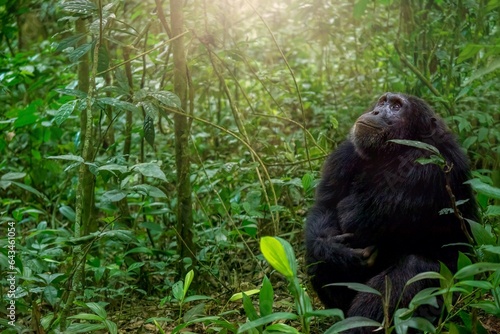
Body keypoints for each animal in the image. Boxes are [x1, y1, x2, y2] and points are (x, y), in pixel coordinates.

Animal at [304, 91, 476, 332]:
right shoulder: (346, 152)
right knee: (316, 257)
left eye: (396, 107)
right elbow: (326, 204)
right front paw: (333, 250)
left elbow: (352, 215)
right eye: (383, 101)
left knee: (413, 270)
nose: (377, 111)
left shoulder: (422, 167)